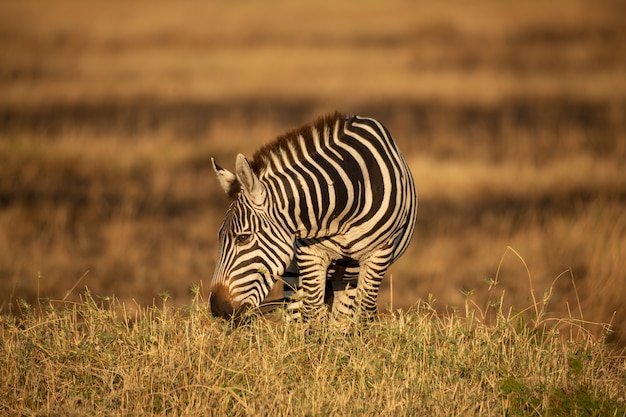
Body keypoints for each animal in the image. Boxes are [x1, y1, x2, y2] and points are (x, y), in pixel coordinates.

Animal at [207, 112, 416, 320]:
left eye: (243, 237)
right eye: (219, 237)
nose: (217, 308)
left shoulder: (378, 254)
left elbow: (363, 313)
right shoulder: (310, 255)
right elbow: (312, 313)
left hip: (349, 275)